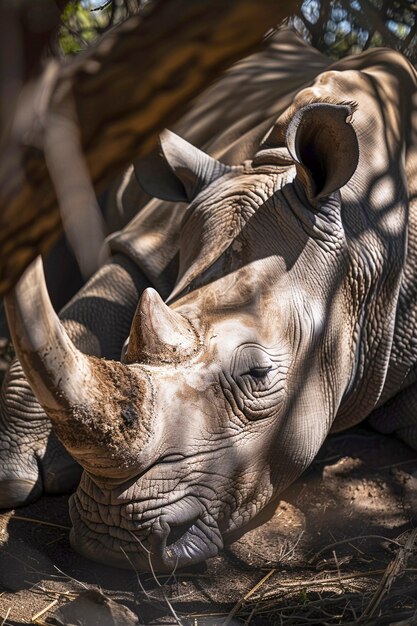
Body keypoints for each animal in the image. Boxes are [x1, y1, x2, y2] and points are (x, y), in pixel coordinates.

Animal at [2, 31, 416, 572]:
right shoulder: (152, 237)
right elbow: (88, 309)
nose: (110, 534)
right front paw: (10, 478)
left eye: (258, 375)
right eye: (127, 350)